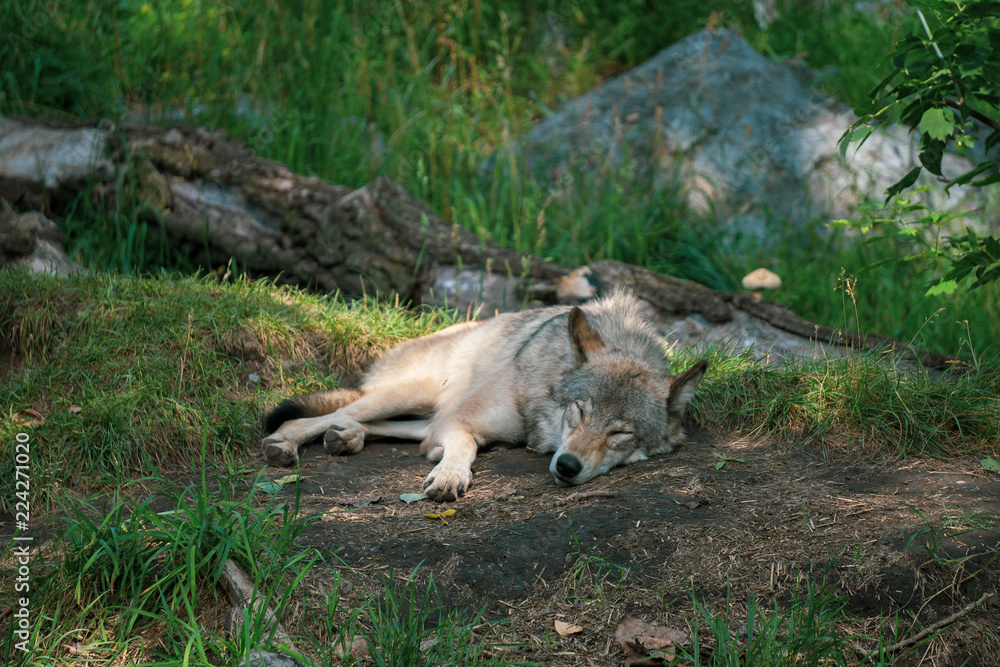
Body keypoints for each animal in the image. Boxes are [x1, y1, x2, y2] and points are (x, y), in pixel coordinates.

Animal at [262, 290, 707, 502]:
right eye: (578, 412)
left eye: (620, 433)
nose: (567, 466)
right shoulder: (460, 421)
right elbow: (465, 446)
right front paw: (450, 476)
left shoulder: (452, 423)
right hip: (410, 394)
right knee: (310, 416)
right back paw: (287, 442)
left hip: (424, 411)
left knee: (394, 427)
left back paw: (347, 435)